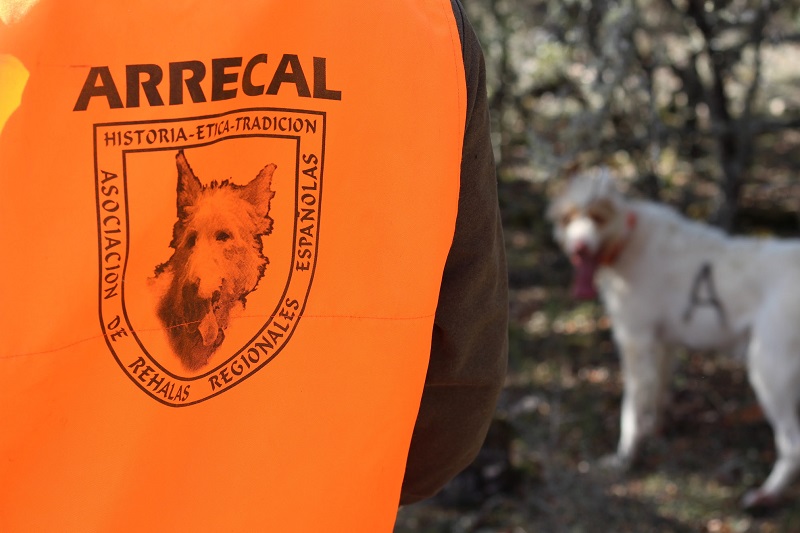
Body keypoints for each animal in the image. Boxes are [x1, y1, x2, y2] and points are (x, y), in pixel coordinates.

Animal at [548, 168, 800, 510]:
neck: (627, 240)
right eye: (569, 218)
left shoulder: (636, 340)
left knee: (792, 446)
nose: (580, 248)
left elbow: (631, 411)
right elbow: (656, 396)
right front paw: (655, 432)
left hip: (770, 373)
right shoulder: (663, 345)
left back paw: (766, 494)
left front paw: (625, 458)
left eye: (598, 217)